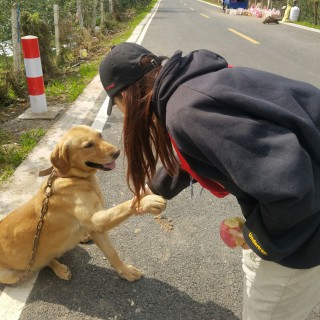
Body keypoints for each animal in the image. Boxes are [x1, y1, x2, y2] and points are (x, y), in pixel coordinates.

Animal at [0, 125, 166, 284]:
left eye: (100, 135)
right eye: (88, 145)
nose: (117, 152)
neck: (73, 178)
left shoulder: (97, 227)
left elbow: (112, 253)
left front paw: (125, 271)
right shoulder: (96, 220)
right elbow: (124, 206)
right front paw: (147, 201)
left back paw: (82, 237)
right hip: (13, 274)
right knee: (41, 263)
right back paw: (60, 268)